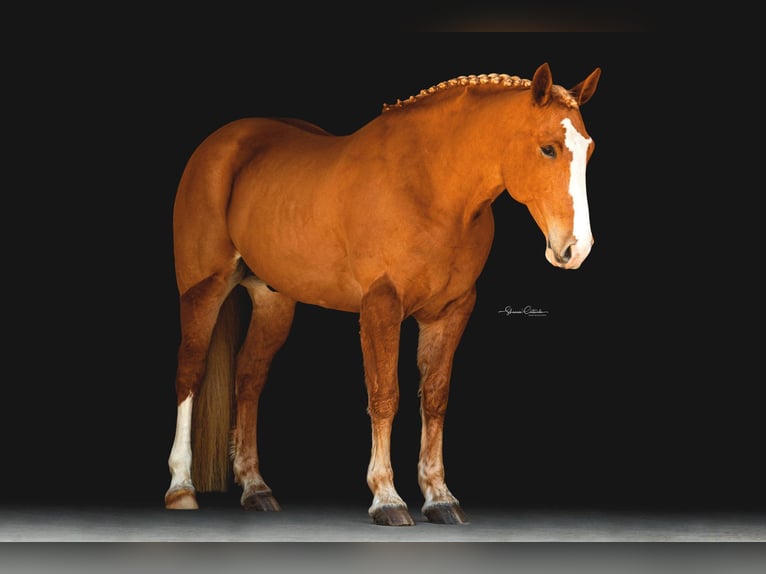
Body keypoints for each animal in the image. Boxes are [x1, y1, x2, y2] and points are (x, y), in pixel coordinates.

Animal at [165, 62, 604, 528]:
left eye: (589, 151)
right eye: (548, 149)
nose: (575, 249)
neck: (430, 187)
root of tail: (221, 144)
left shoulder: (451, 311)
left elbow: (435, 398)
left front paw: (440, 497)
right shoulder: (381, 306)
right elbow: (384, 396)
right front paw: (387, 497)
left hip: (273, 301)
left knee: (248, 379)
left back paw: (256, 488)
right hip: (202, 289)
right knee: (190, 372)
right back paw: (181, 487)